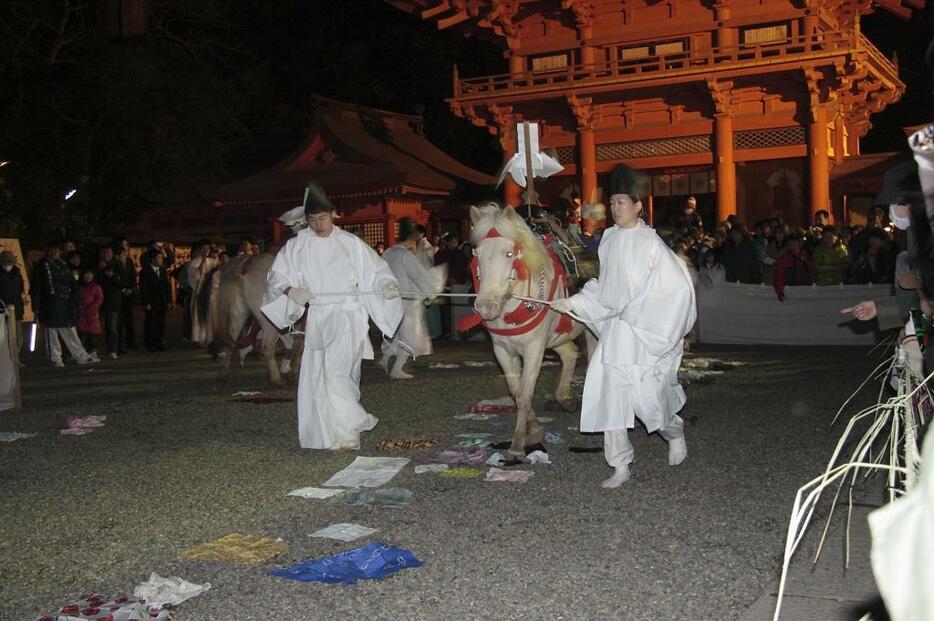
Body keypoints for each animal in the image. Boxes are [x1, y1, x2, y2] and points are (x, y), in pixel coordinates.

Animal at [472, 203, 596, 456]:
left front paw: (518, 443)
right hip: (557, 335)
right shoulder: (502, 349)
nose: (486, 306)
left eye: (509, 253)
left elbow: (524, 393)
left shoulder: (533, 348)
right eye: (476, 254)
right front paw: (535, 428)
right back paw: (565, 398)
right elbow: (515, 390)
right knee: (570, 354)